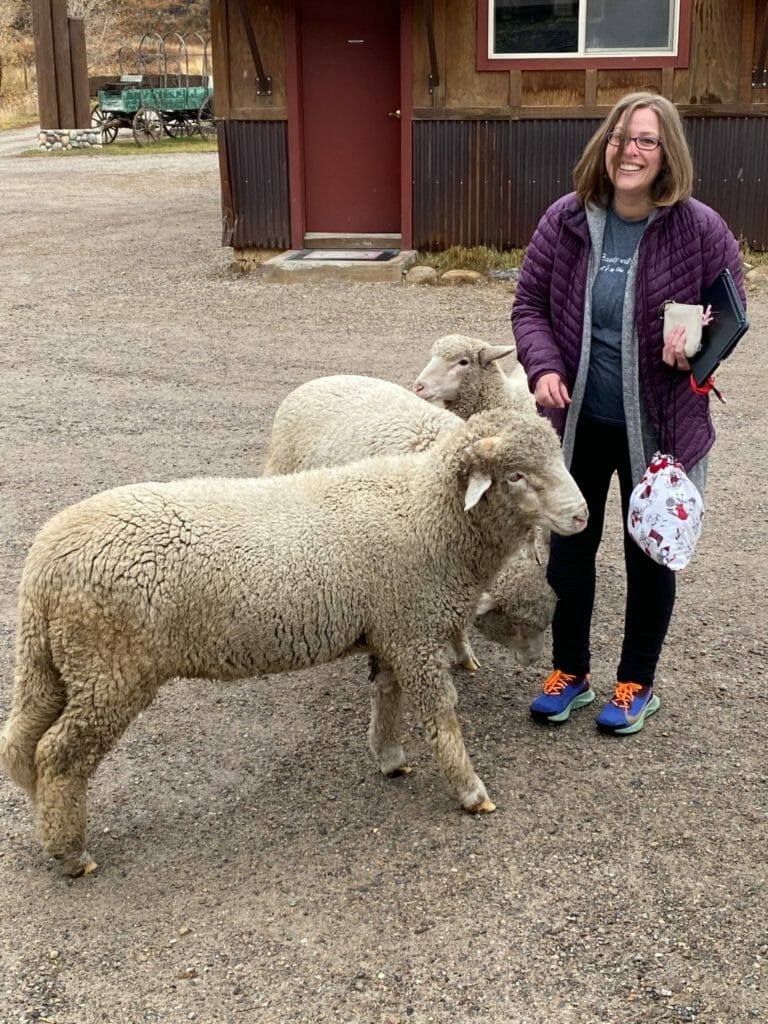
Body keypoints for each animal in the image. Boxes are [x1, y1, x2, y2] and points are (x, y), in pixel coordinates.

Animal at [0, 410, 588, 876]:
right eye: (516, 475)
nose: (581, 515)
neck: (428, 514)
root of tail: (44, 562)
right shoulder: (415, 630)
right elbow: (441, 713)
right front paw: (470, 791)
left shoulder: (392, 629)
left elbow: (386, 694)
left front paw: (389, 756)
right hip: (110, 668)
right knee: (58, 753)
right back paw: (71, 853)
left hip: (62, 663)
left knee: (22, 742)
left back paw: (46, 819)